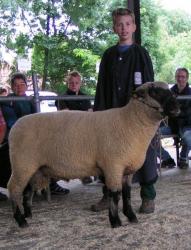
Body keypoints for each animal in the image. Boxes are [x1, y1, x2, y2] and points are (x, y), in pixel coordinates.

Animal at [7, 82, 180, 229]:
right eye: (154, 92)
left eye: (170, 91)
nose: (177, 108)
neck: (130, 122)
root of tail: (16, 126)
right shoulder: (113, 166)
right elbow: (115, 195)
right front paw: (115, 221)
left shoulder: (127, 170)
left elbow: (127, 194)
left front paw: (131, 216)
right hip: (21, 163)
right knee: (14, 189)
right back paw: (21, 220)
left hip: (34, 168)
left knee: (27, 190)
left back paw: (28, 215)